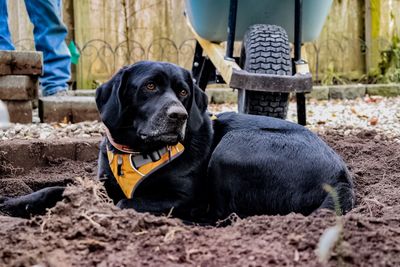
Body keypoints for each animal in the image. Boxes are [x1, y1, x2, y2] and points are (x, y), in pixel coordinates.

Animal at [0, 61, 356, 223]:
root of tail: (342, 177)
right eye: (149, 87)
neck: (137, 152)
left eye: (184, 92)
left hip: (233, 148)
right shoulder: (102, 183)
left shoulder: (184, 198)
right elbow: (55, 188)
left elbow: (122, 204)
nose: (179, 115)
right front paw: (13, 203)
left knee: (221, 215)